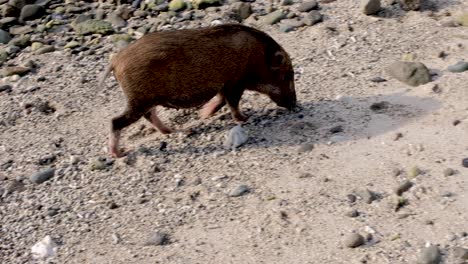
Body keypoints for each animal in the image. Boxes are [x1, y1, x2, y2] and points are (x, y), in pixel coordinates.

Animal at [99, 23, 296, 157]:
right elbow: (232, 103)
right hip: (139, 100)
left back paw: (173, 132)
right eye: (286, 76)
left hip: (146, 99)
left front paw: (203, 115)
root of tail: (115, 61)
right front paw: (244, 119)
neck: (258, 60)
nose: (295, 106)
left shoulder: (225, 85)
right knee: (116, 121)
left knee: (149, 116)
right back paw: (118, 154)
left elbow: (221, 100)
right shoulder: (234, 83)